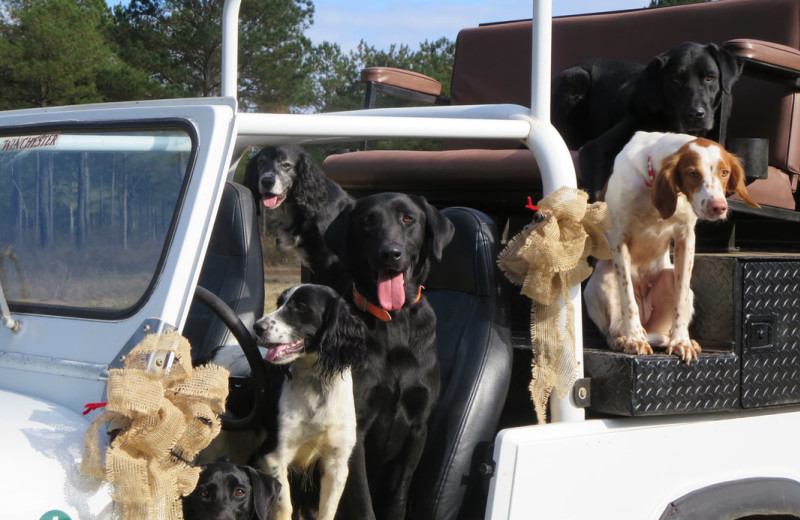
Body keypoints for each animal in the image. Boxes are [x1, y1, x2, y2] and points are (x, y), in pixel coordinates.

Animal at [247, 282, 366, 520]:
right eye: (279, 303)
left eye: (301, 307)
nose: (257, 327)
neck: (317, 386)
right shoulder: (274, 455)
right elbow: (284, 507)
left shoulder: (336, 463)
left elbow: (327, 510)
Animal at [322, 192, 454, 520]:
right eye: (367, 222)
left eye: (408, 219)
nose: (390, 254)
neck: (394, 320)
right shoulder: (355, 429)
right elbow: (363, 504)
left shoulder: (418, 427)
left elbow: (398, 495)